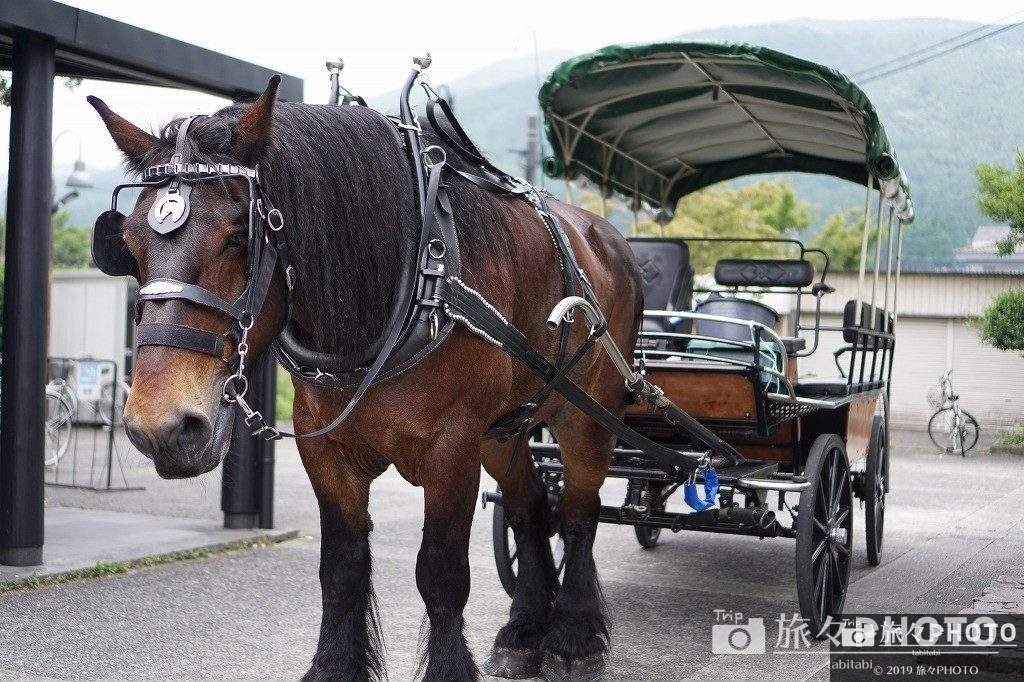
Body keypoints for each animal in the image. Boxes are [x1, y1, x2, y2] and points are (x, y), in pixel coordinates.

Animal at [89, 75, 644, 681]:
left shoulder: (453, 447)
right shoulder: (327, 450)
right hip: (505, 428)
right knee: (530, 507)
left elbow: (442, 574)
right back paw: (523, 632)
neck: (409, 281)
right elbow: (342, 568)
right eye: (130, 245)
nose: (160, 427)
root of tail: (607, 239)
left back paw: (573, 637)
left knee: (580, 513)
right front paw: (335, 665)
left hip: (587, 413)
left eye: (239, 236)